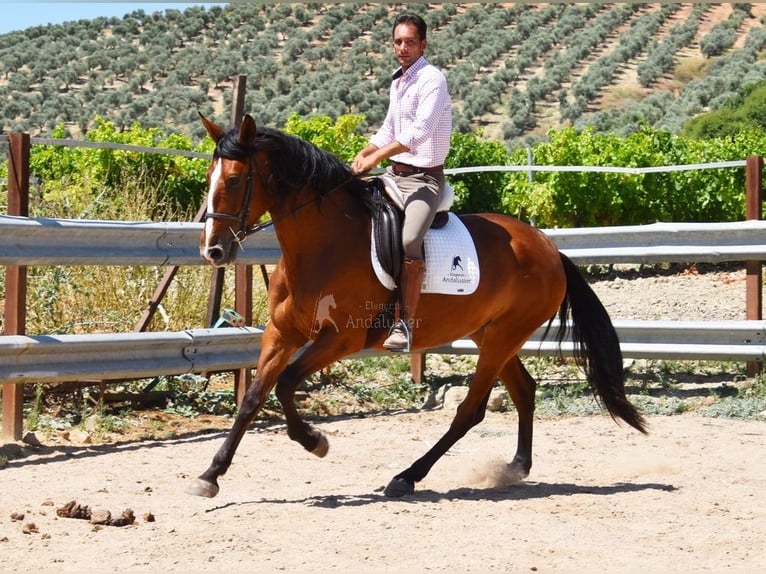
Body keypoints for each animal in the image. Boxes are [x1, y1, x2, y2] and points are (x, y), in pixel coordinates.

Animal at [188, 112, 648, 500]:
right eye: (208, 176)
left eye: (234, 180)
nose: (212, 251)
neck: (324, 245)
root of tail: (548, 247)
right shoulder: (282, 333)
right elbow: (253, 399)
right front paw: (210, 476)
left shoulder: (341, 339)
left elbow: (284, 385)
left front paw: (315, 442)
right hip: (491, 335)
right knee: (524, 391)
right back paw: (516, 466)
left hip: (503, 337)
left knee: (470, 410)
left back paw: (407, 477)